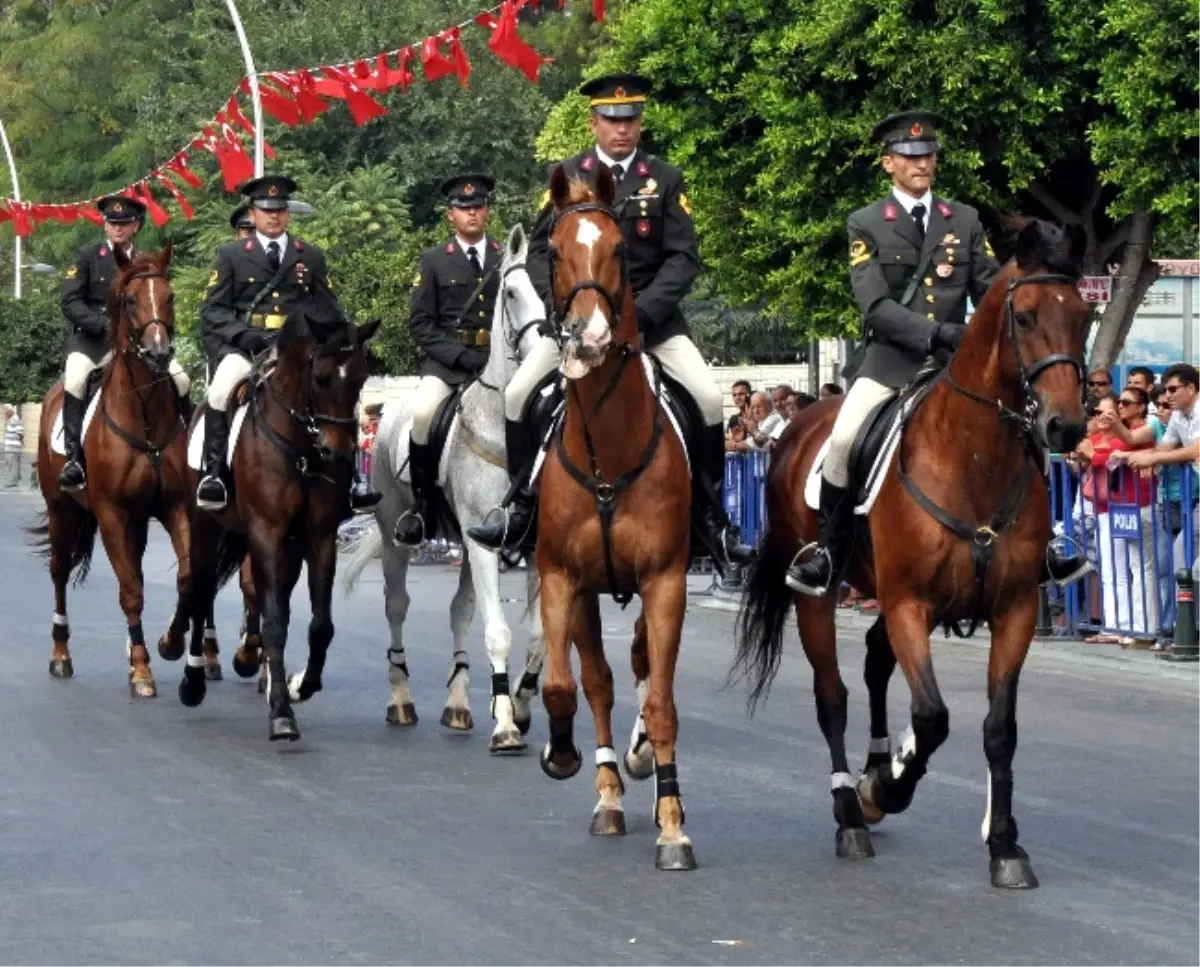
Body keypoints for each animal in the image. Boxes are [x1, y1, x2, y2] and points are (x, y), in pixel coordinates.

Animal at [31, 242, 220, 695]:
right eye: (131, 300)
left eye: (169, 296)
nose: (159, 352)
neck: (144, 412)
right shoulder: (112, 513)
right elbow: (130, 591)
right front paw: (142, 671)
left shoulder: (173, 508)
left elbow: (186, 578)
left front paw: (169, 643)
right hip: (62, 510)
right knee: (60, 572)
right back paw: (61, 655)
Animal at [174, 302, 376, 743]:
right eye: (320, 377)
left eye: (360, 378)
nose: (338, 452)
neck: (299, 446)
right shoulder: (266, 532)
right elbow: (275, 622)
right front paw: (282, 713)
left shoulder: (319, 537)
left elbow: (320, 623)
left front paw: (302, 686)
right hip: (205, 528)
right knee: (200, 593)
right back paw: (193, 681)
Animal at [345, 223, 549, 753]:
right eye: (511, 293)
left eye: (547, 294)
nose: (546, 351)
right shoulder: (481, 545)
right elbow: (499, 633)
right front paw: (506, 727)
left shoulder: (529, 546)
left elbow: (539, 637)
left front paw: (517, 704)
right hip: (396, 533)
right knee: (396, 605)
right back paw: (401, 699)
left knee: (460, 611)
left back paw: (458, 702)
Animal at [734, 221, 1094, 892]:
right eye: (1025, 316)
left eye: (1083, 316)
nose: (1066, 428)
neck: (973, 457)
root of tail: (800, 423)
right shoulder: (910, 606)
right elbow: (931, 717)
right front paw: (888, 789)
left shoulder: (1013, 612)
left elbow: (998, 729)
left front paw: (1005, 844)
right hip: (821, 598)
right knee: (833, 696)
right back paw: (852, 811)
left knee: (875, 663)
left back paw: (876, 769)